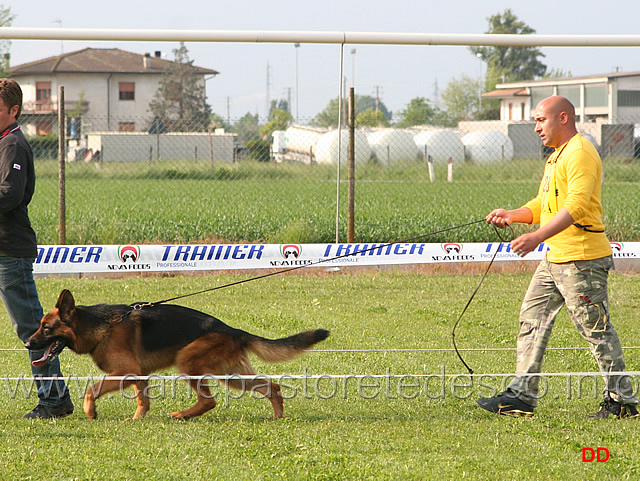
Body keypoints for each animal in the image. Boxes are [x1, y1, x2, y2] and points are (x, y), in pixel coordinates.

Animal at [25, 288, 330, 420]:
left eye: (46, 328)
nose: (27, 344)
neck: (101, 326)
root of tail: (232, 330)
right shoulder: (138, 375)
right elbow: (143, 401)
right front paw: (137, 420)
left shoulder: (126, 371)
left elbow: (91, 389)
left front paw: (91, 412)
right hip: (231, 375)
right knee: (272, 386)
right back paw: (277, 416)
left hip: (188, 363)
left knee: (209, 401)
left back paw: (183, 415)